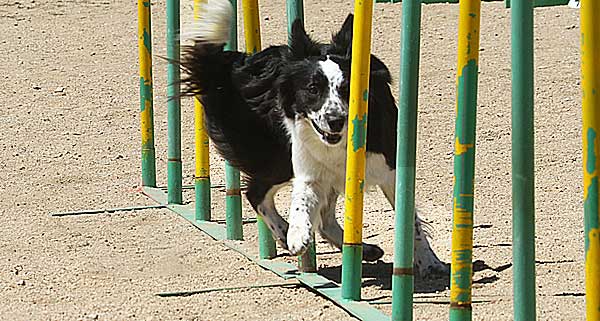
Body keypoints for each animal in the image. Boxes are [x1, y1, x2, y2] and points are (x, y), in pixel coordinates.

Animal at [180, 0, 448, 276]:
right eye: (312, 89)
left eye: (346, 89)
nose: (335, 120)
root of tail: (235, 67)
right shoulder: (309, 170)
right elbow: (301, 201)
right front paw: (297, 234)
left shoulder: (390, 170)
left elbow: (411, 223)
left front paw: (429, 261)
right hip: (280, 159)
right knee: (256, 193)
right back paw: (285, 231)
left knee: (318, 214)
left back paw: (362, 248)